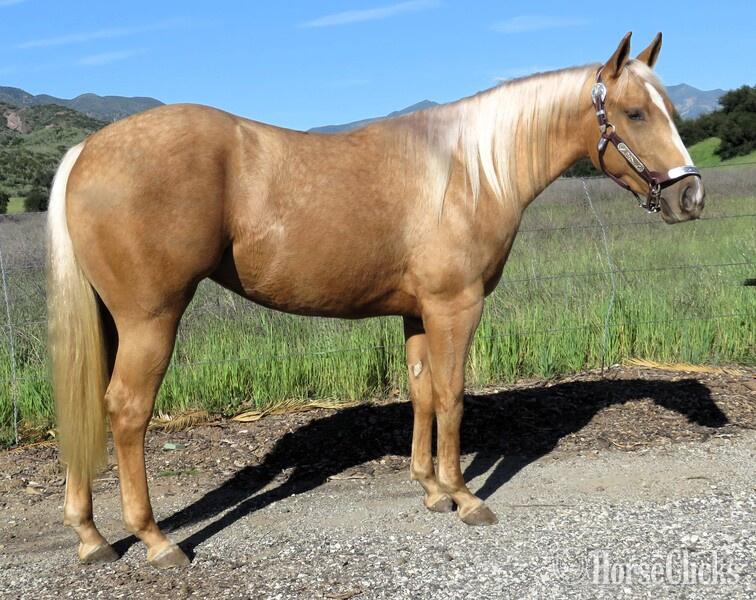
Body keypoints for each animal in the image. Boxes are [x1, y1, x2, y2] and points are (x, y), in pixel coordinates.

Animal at [47, 32, 704, 568]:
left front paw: (431, 490)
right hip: (150, 321)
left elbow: (422, 395)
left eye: (671, 111)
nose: (691, 199)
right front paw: (465, 497)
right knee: (127, 410)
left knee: (87, 404)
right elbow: (452, 396)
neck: (468, 170)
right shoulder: (455, 307)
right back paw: (156, 541)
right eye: (635, 112)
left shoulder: (416, 313)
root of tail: (87, 150)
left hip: (111, 322)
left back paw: (91, 537)